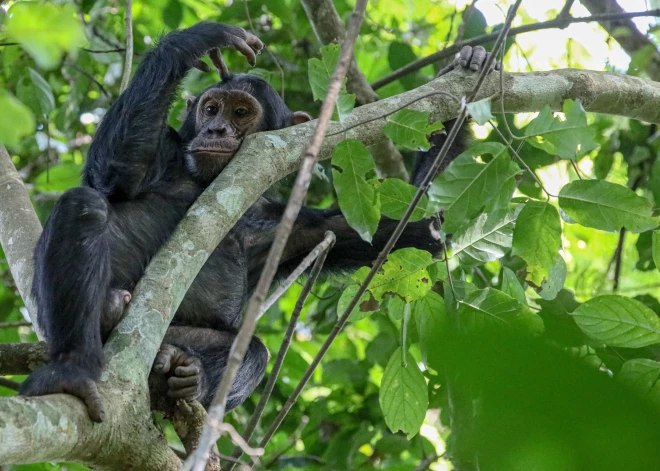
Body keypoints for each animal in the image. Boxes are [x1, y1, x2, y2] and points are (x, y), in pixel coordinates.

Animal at [19, 20, 496, 422]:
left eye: (242, 113)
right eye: (211, 108)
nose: (215, 130)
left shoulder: (302, 225)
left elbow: (423, 227)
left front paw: (466, 70)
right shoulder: (165, 150)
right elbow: (113, 173)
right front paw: (198, 39)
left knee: (254, 352)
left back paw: (183, 375)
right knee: (85, 206)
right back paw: (76, 364)